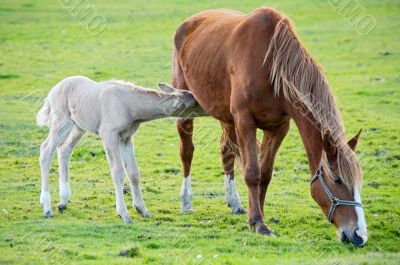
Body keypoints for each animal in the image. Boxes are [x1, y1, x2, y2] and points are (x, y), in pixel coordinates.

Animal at [170, 7, 368, 245]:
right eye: (338, 180)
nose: (359, 235)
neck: (270, 64)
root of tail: (189, 22)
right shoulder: (245, 121)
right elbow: (252, 173)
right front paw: (259, 223)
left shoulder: (278, 128)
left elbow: (264, 175)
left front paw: (257, 215)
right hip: (185, 109)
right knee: (187, 152)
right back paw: (186, 201)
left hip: (226, 116)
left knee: (226, 151)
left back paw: (234, 202)